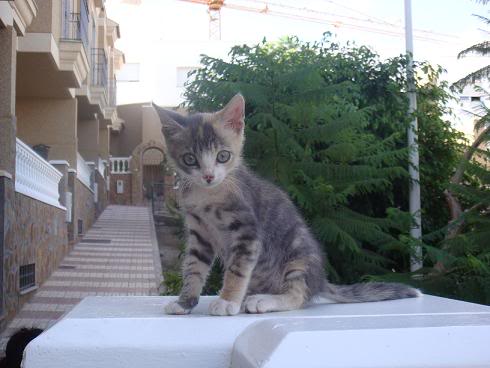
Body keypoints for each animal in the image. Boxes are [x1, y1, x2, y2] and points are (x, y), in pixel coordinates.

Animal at [154, 94, 422, 316]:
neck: (207, 195)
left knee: (297, 296)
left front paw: (227, 300)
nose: (209, 176)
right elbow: (193, 268)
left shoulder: (247, 231)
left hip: (298, 259)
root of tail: (320, 281)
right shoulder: (200, 234)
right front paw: (185, 302)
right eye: (190, 159)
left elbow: (237, 270)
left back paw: (263, 301)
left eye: (223, 156)